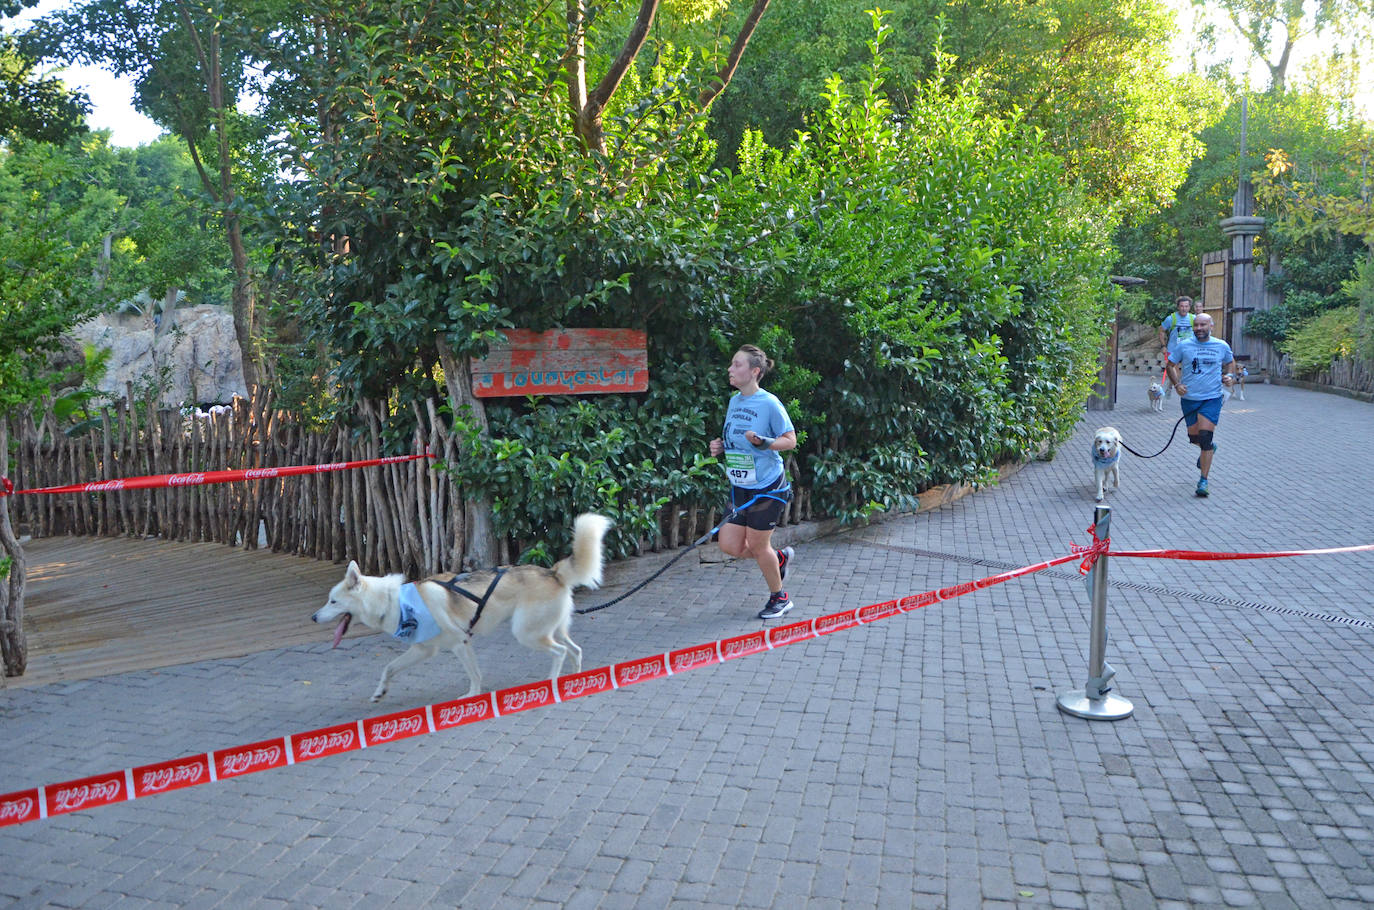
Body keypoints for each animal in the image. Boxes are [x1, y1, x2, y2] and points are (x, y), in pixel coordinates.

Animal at [316, 514, 612, 703]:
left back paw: (552, 680)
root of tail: (553, 572)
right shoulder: (423, 650)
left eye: (333, 601)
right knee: (575, 651)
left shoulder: (460, 643)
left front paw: (472, 696)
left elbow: (475, 675)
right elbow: (389, 668)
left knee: (560, 652)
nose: (313, 616)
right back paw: (574, 679)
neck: (394, 601)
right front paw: (380, 692)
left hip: (527, 634)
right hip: (552, 629)